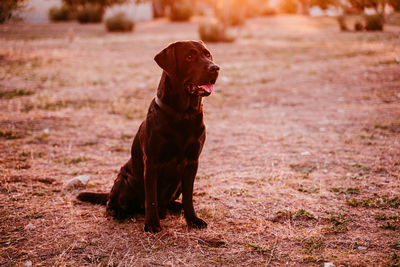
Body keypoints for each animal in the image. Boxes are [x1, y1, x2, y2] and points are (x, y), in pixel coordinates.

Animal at [77, 40, 222, 233]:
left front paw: (192, 219)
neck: (183, 115)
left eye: (208, 54)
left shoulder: (192, 162)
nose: (215, 68)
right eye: (190, 56)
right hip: (125, 179)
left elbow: (189, 197)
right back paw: (119, 212)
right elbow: (151, 197)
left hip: (177, 184)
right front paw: (152, 224)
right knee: (113, 202)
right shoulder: (152, 162)